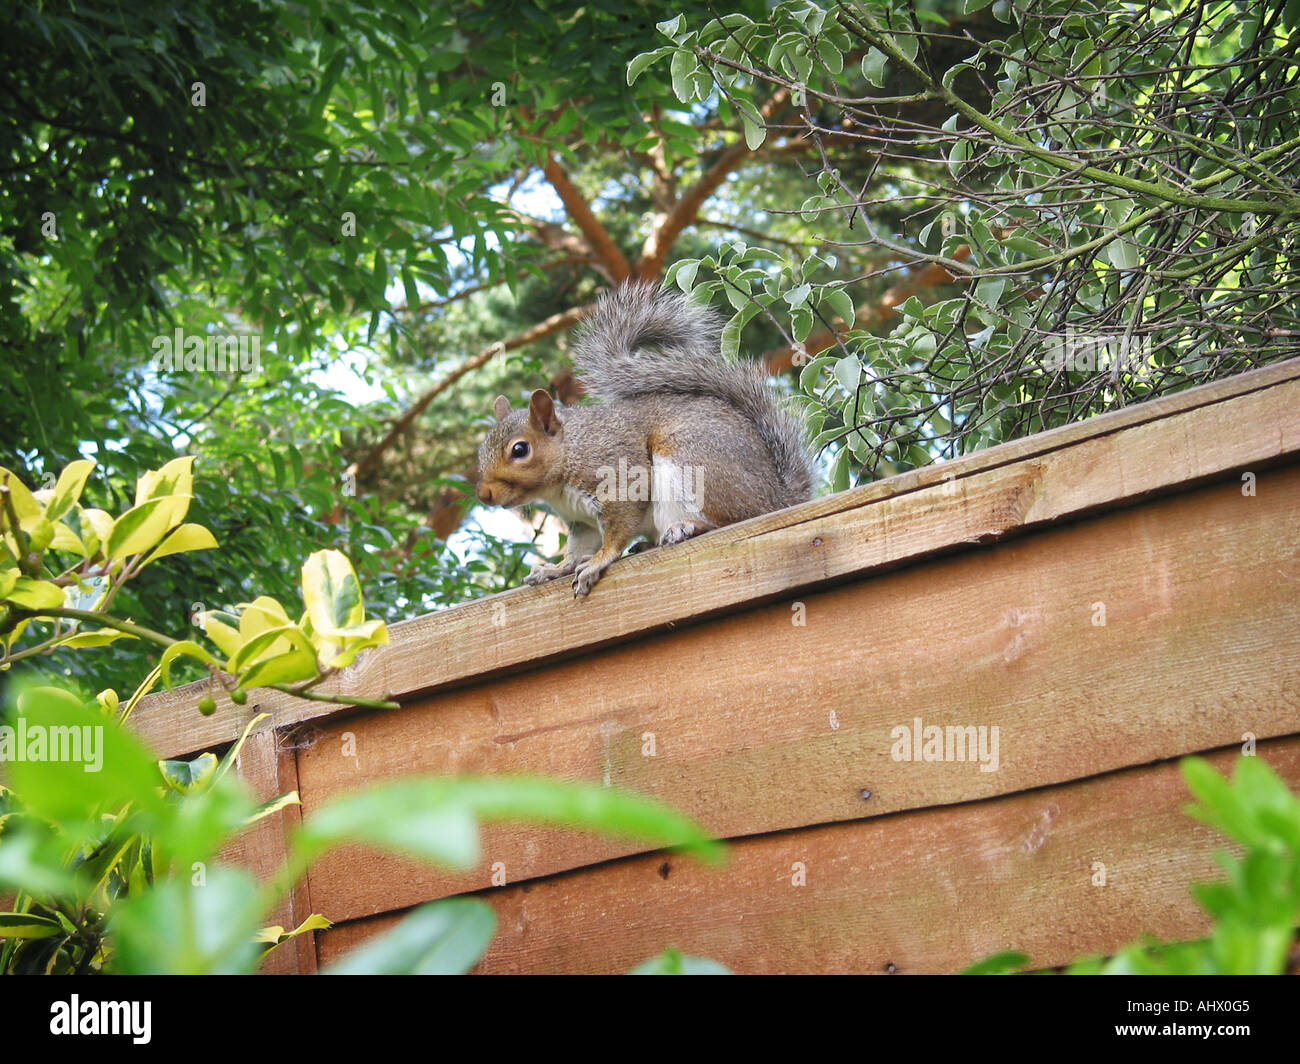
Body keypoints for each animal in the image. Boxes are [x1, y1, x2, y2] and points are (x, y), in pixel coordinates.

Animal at [476, 282, 814, 596]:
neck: (568, 457)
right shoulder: (581, 521)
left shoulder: (617, 476)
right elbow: (578, 548)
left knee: (735, 518)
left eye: (520, 449)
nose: (483, 495)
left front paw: (598, 561)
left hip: (695, 462)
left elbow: (617, 530)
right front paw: (555, 569)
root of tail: (780, 497)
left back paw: (688, 526)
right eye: (481, 451)